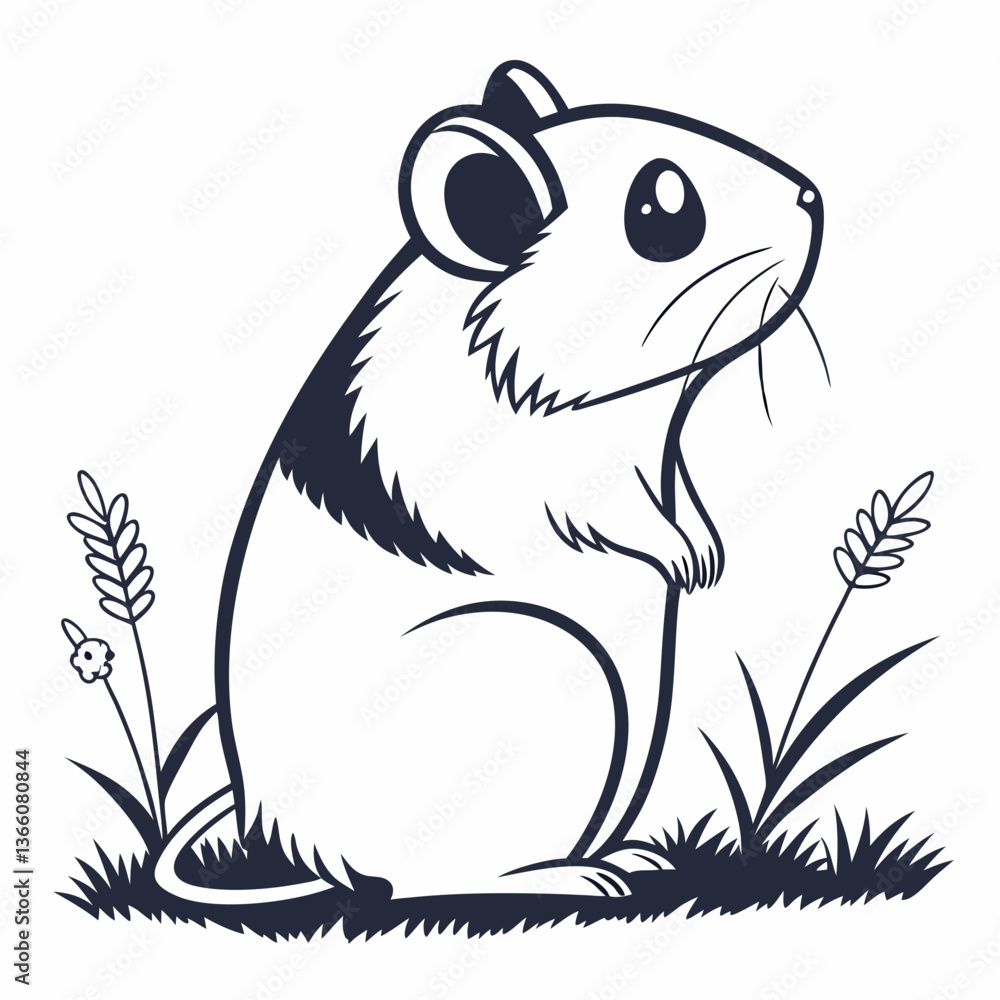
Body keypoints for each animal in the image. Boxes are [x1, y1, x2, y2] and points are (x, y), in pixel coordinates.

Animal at [156, 61, 822, 904]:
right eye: (663, 205)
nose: (814, 197)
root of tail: (304, 850)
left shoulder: (661, 462)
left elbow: (685, 500)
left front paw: (707, 551)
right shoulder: (561, 480)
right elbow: (605, 515)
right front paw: (682, 558)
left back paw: (634, 858)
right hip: (548, 664)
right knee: (430, 884)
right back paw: (576, 879)